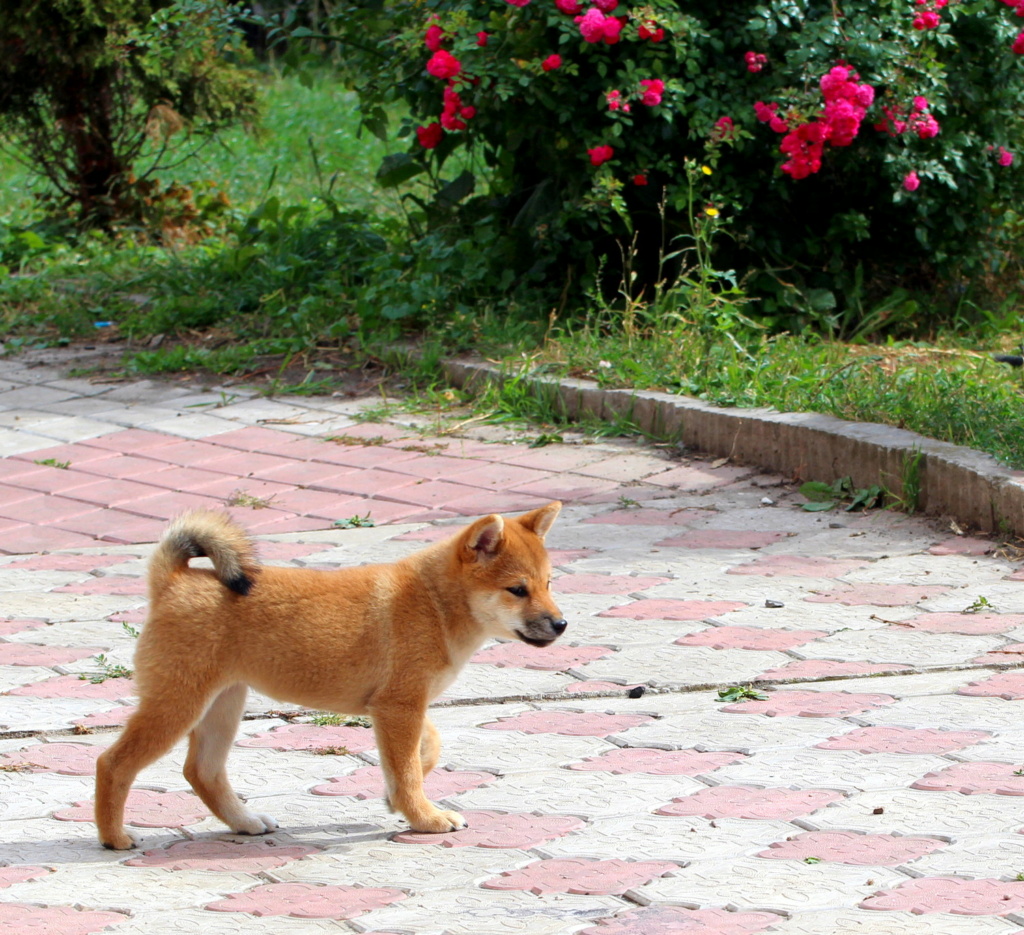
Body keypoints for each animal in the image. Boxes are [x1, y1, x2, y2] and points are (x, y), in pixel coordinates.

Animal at [92, 499, 565, 852]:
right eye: (517, 590)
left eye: (548, 584)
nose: (561, 624)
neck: (434, 601)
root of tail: (173, 581)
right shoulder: (399, 706)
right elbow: (410, 769)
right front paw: (425, 818)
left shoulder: (398, 706)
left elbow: (422, 754)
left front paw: (395, 799)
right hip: (178, 705)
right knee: (112, 764)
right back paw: (114, 837)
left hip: (222, 705)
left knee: (201, 771)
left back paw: (244, 821)